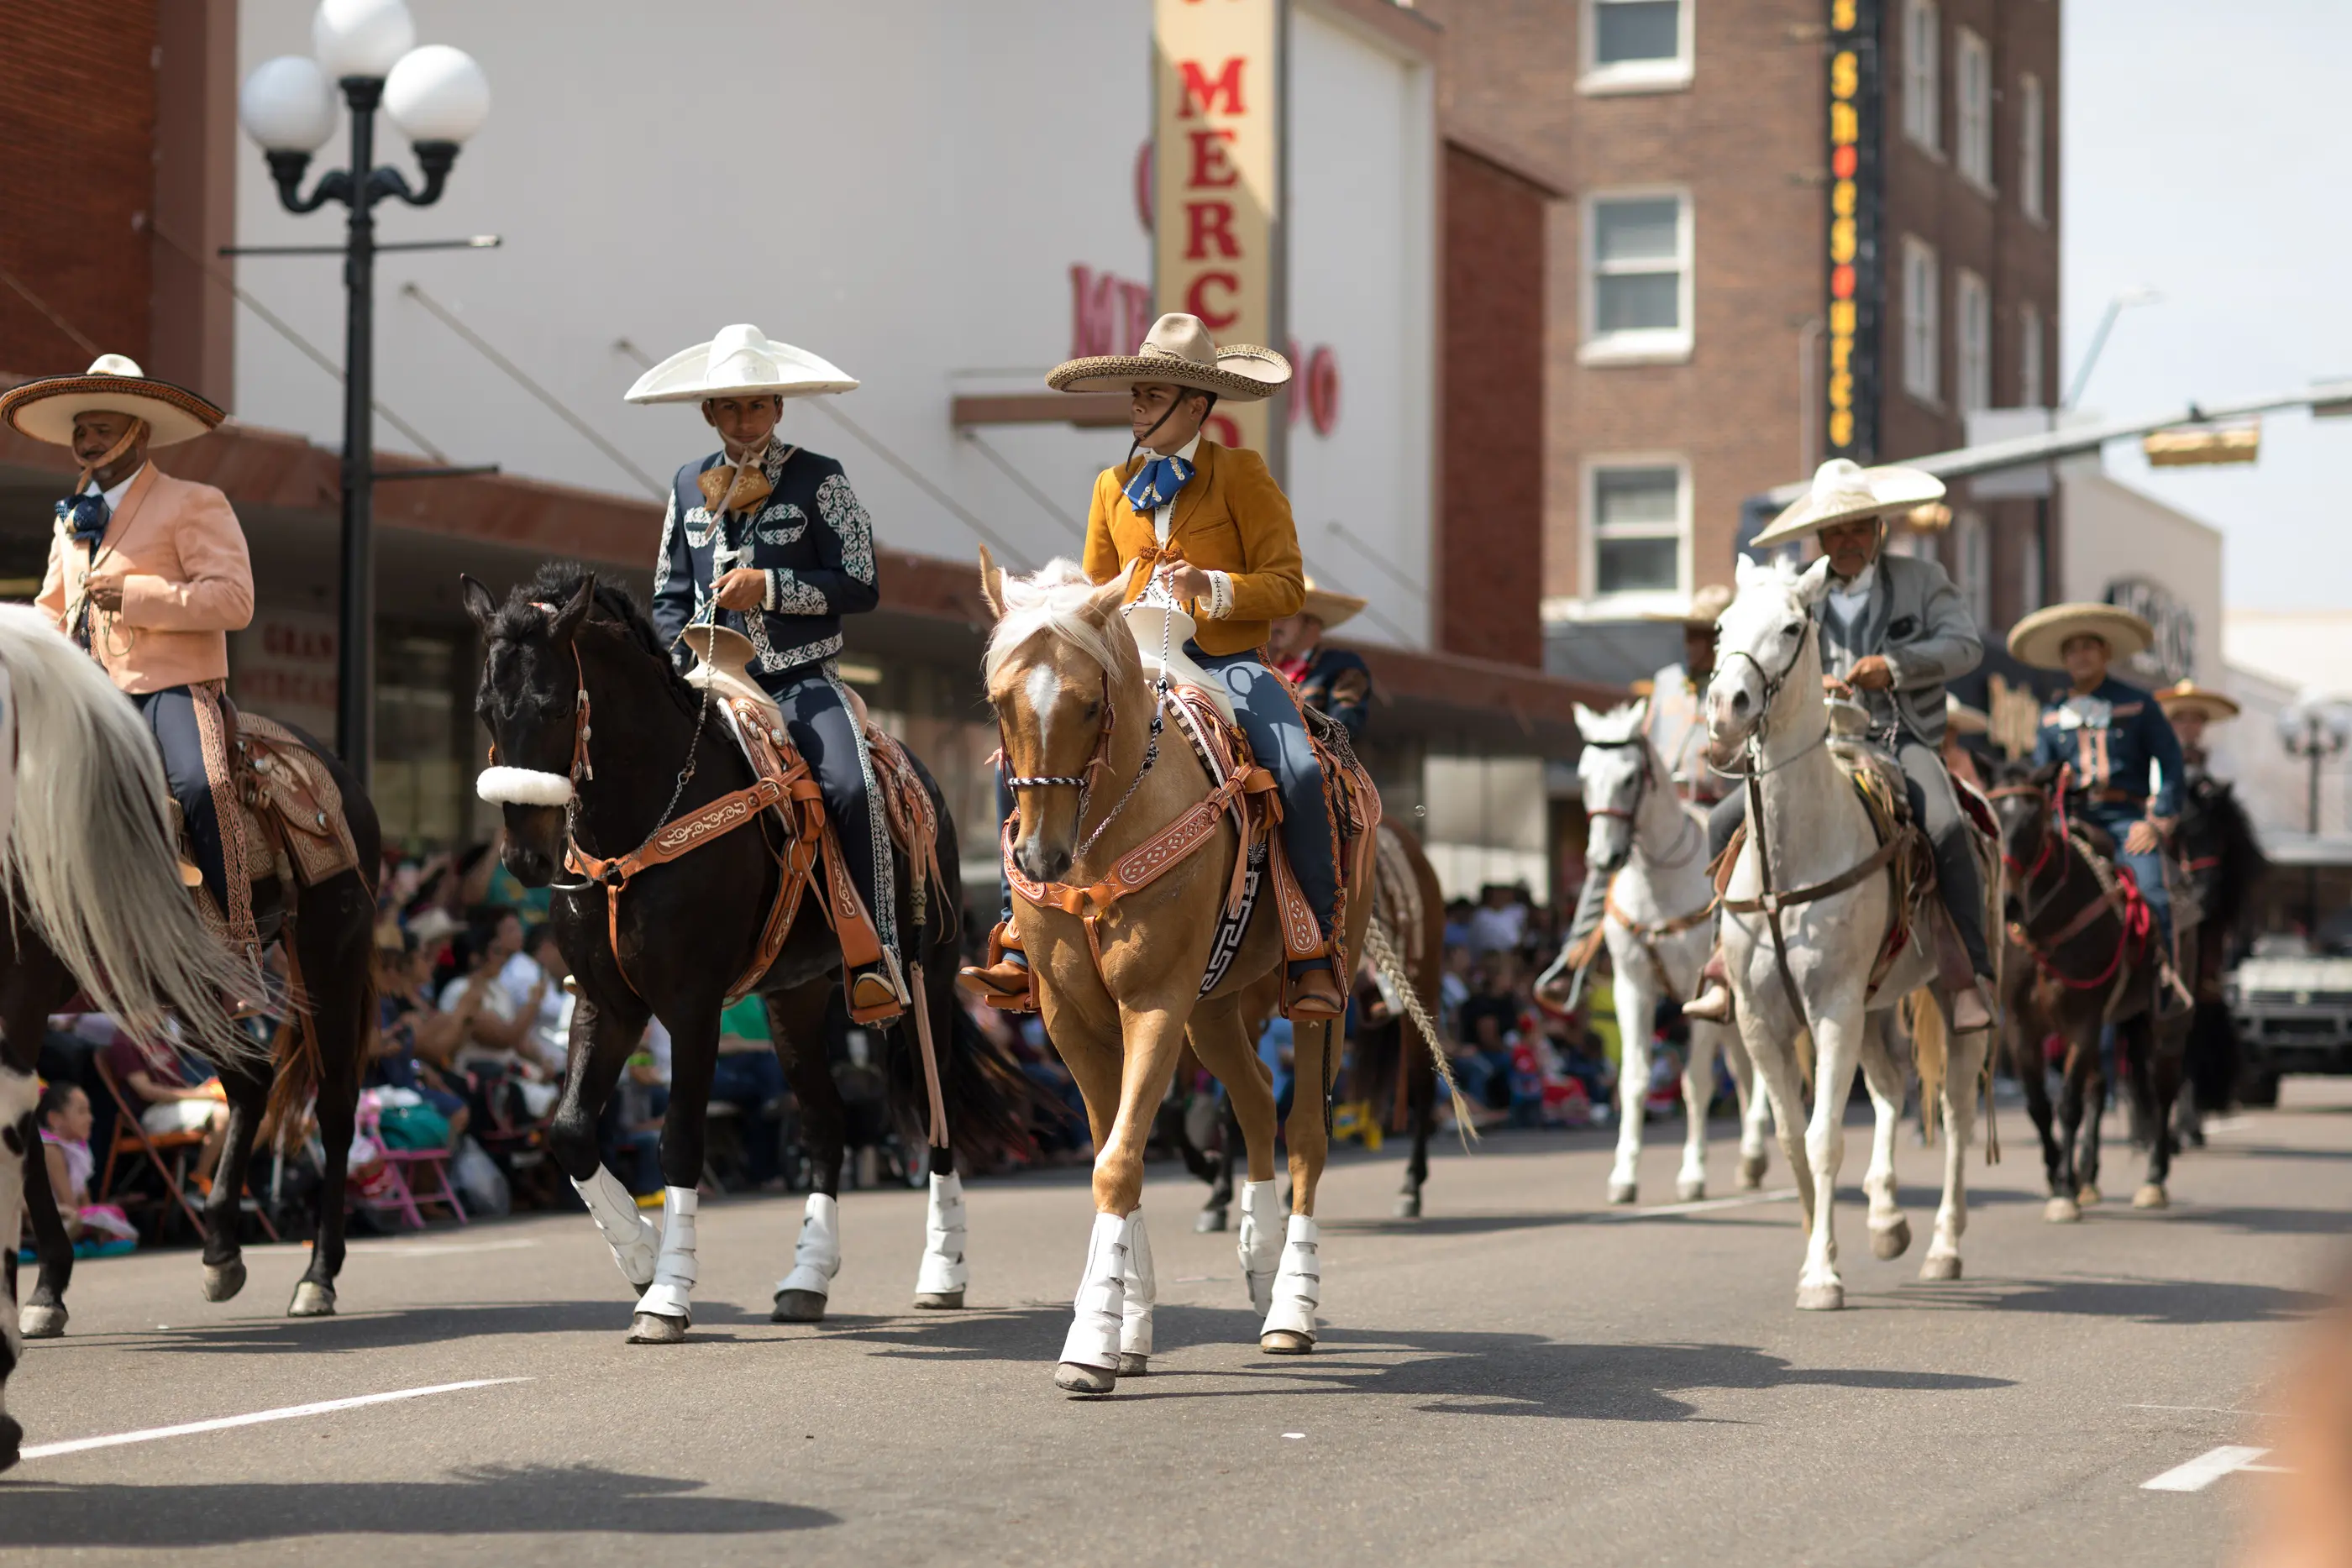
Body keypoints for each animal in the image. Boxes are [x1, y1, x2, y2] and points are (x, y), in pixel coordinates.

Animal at [463, 571, 1035, 1345]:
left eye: (554, 705)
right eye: (484, 708)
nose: (524, 857)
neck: (641, 825)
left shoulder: (692, 1006)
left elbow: (679, 1141)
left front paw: (667, 1293)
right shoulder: (607, 1001)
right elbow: (571, 1129)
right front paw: (639, 1253)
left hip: (930, 979)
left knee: (935, 1110)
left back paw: (943, 1270)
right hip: (794, 998)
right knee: (826, 1124)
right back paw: (806, 1278)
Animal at [974, 557, 1448, 1392]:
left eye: (1090, 702)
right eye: (1000, 702)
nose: (1039, 855)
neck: (1104, 832)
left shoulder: (1154, 1003)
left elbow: (1119, 1161)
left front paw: (1090, 1343)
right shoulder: (1073, 1019)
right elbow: (1120, 1147)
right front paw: (1129, 1323)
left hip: (1320, 994)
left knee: (1306, 1131)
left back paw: (1293, 1305)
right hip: (1217, 1007)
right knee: (1255, 1102)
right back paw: (1258, 1263)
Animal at [1562, 705, 1768, 1213]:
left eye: (1631, 777)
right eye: (1583, 776)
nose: (1603, 857)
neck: (1659, 886)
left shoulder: (1700, 992)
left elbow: (1695, 1085)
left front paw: (1692, 1175)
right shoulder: (1632, 987)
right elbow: (1633, 1080)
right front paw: (1624, 1176)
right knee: (1745, 1068)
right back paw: (1752, 1161)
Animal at [1985, 757, 2201, 1213]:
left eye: (2033, 821)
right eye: (1990, 815)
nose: (2007, 903)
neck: (2047, 929)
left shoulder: (2083, 1022)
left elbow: (2068, 1105)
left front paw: (2065, 1192)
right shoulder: (2021, 1026)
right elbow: (2039, 1105)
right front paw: (2057, 1177)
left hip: (2167, 1020)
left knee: (2163, 1086)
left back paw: (2154, 1177)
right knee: (2103, 1088)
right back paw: (2089, 1173)